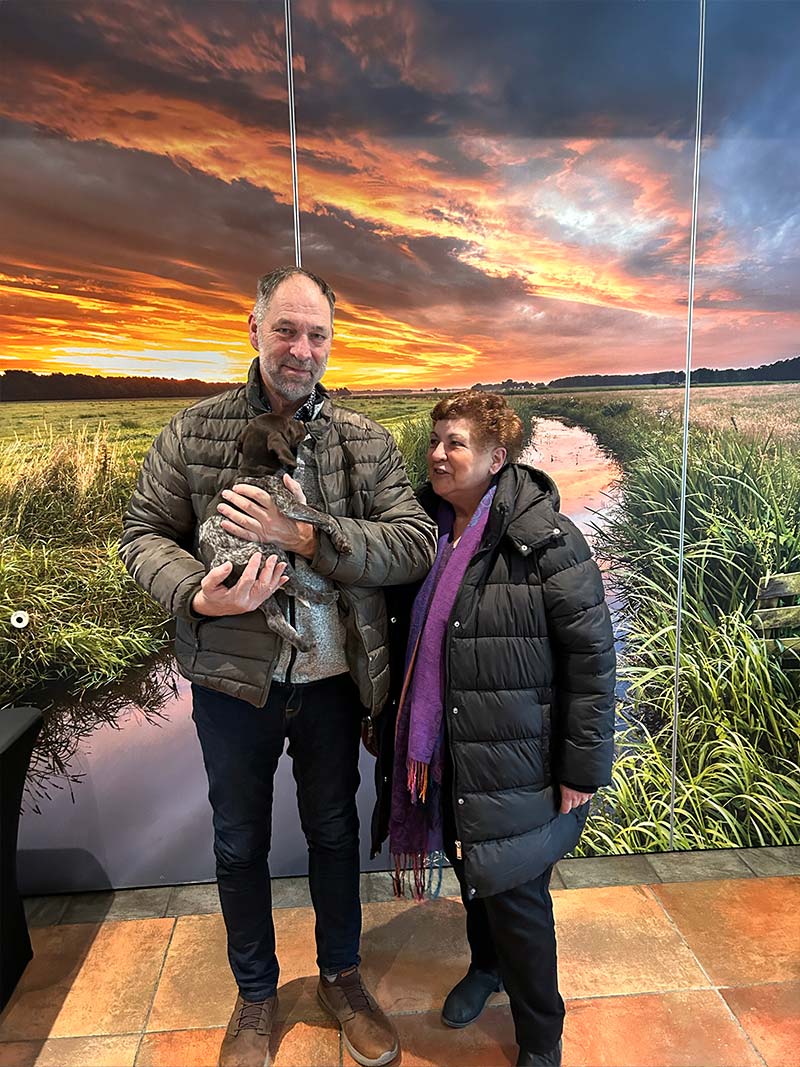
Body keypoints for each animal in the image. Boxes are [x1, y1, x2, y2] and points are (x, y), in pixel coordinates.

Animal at [197, 413, 352, 652]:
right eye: (290, 424)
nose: (303, 422)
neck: (255, 470)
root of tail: (220, 568)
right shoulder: (289, 505)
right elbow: (326, 517)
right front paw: (340, 540)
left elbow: (318, 510)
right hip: (271, 556)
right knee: (298, 590)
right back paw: (325, 597)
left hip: (257, 589)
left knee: (274, 620)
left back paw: (302, 643)